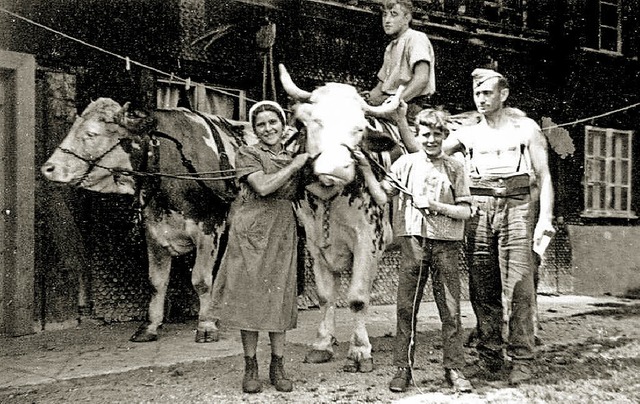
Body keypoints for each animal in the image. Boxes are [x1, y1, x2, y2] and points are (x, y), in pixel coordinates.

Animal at [39, 98, 255, 340]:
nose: (48, 168)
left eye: (91, 133)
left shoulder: (209, 227)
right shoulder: (154, 230)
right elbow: (156, 281)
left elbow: (202, 280)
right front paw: (150, 325)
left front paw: (206, 325)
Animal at [280, 65, 400, 372]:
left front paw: (360, 351)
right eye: (316, 121)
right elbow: (325, 296)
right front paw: (322, 344)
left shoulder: (370, 241)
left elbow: (357, 298)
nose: (336, 167)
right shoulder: (313, 243)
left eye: (359, 128)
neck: (329, 199)